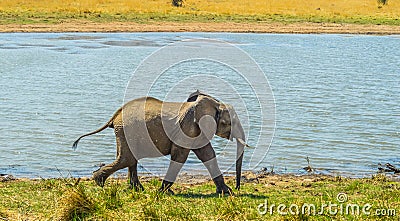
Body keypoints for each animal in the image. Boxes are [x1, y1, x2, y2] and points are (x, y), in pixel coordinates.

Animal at [71, 90, 247, 194]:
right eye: (230, 123)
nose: (238, 187)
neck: (213, 103)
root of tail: (115, 116)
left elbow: (207, 154)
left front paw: (226, 193)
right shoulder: (187, 127)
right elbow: (180, 156)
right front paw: (163, 192)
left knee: (130, 159)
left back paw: (137, 189)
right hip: (127, 130)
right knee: (127, 158)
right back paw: (99, 181)